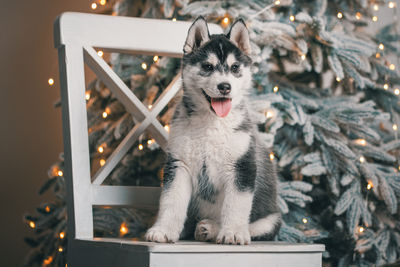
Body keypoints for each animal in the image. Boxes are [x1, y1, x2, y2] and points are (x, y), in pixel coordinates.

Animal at [145, 16, 280, 246]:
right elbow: (171, 202)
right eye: (208, 66)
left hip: (271, 220)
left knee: (254, 227)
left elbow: (235, 205)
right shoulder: (179, 164)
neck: (212, 123)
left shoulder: (241, 166)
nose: (225, 86)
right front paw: (163, 230)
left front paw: (232, 232)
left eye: (235, 67)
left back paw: (212, 228)